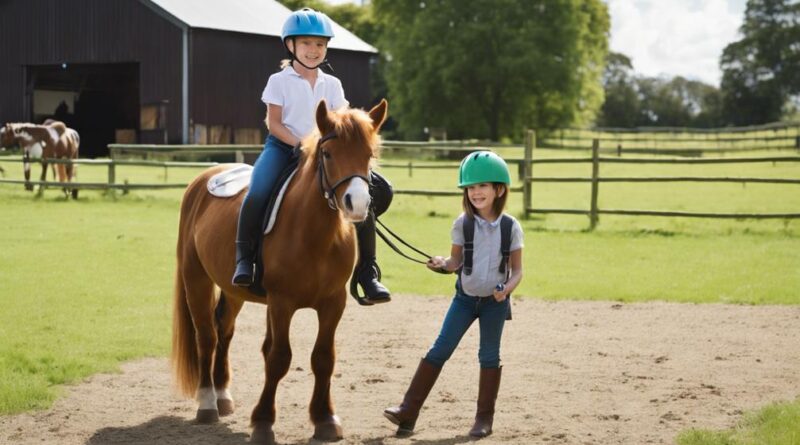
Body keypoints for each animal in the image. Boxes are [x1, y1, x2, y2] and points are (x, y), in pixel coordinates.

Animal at [173, 99, 390, 442]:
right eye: (328, 154)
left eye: (369, 154)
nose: (356, 204)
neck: (314, 235)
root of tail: (204, 178)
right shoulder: (281, 303)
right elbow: (277, 358)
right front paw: (263, 422)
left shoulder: (333, 303)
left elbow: (323, 358)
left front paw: (325, 419)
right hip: (196, 280)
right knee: (206, 335)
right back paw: (207, 403)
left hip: (234, 292)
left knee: (224, 331)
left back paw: (222, 396)